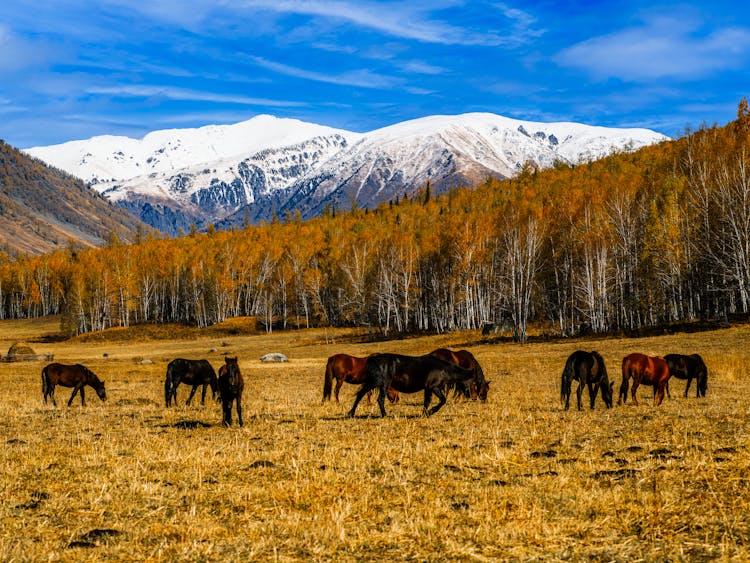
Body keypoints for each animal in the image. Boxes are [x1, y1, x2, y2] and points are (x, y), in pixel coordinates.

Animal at [346, 352, 476, 418]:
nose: (473, 397)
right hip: (381, 384)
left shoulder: (428, 388)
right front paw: (431, 412)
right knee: (379, 399)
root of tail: (372, 359)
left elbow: (427, 402)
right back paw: (384, 415)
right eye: (472, 383)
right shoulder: (434, 387)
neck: (443, 369)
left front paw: (425, 413)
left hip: (373, 382)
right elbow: (442, 400)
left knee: (360, 395)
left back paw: (351, 413)